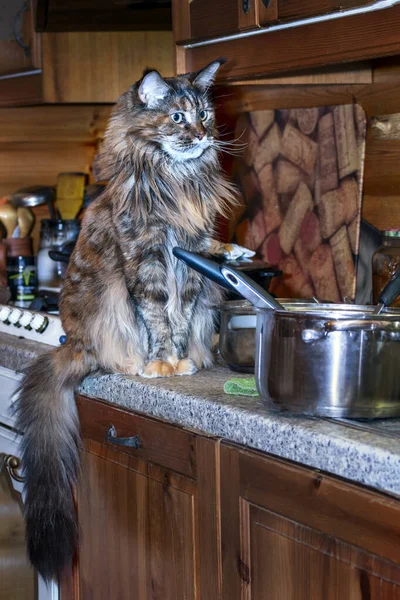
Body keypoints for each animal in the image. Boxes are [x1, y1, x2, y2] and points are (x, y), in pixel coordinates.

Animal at [14, 58, 241, 580]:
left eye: (204, 114)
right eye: (177, 117)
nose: (202, 134)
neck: (174, 179)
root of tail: (73, 345)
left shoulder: (193, 259)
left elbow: (182, 317)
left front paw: (182, 360)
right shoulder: (147, 257)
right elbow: (158, 315)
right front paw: (162, 363)